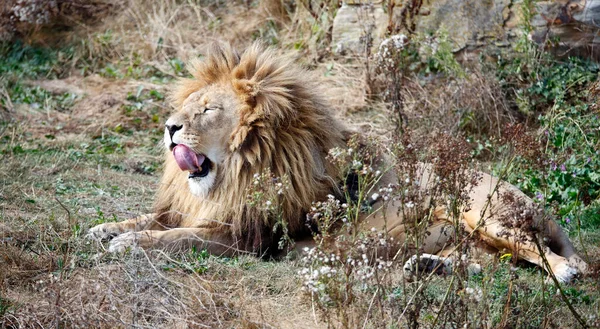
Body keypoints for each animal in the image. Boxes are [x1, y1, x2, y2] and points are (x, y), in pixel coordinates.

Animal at [88, 41, 584, 282]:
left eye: (208, 110)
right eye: (189, 105)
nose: (170, 127)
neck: (236, 173)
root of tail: (540, 207)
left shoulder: (247, 238)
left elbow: (177, 239)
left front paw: (129, 244)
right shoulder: (197, 208)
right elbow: (153, 218)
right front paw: (106, 229)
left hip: (481, 212)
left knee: (542, 255)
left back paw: (565, 273)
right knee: (488, 263)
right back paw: (427, 267)